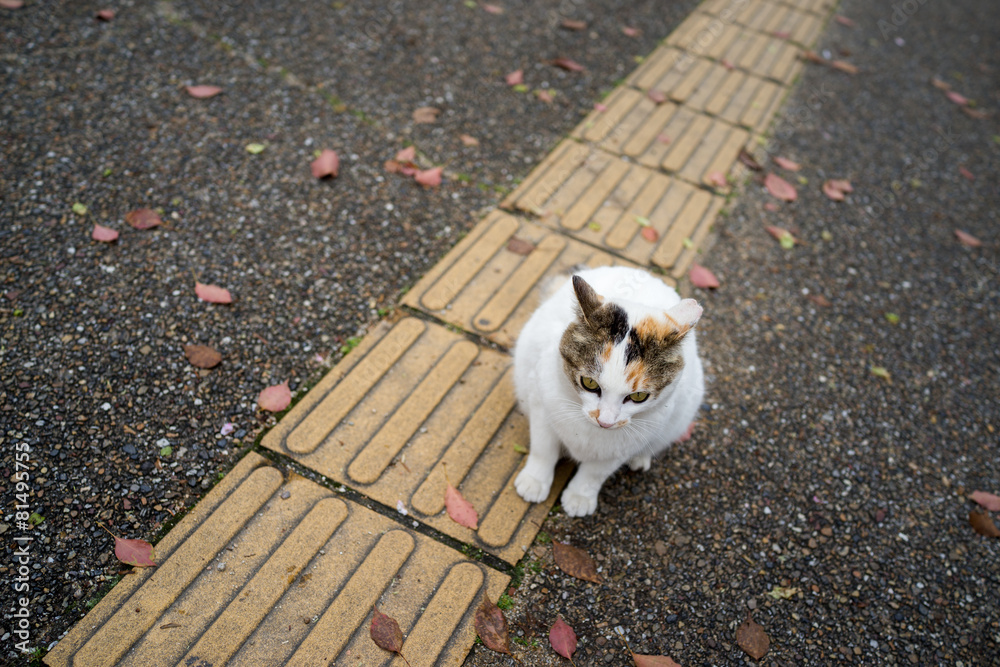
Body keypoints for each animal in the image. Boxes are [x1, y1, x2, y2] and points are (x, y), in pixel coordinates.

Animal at [512, 266, 708, 516]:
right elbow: (543, 448)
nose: (605, 421)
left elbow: (595, 472)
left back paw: (640, 459)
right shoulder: (541, 402)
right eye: (589, 383)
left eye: (638, 396)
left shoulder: (627, 443)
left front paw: (580, 496)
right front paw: (535, 481)